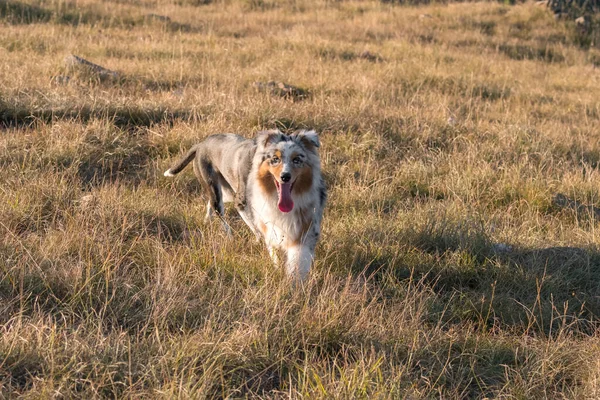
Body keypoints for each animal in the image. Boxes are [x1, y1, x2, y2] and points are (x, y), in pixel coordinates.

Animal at [164, 130, 326, 280]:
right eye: (275, 159)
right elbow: (257, 226)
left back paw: (206, 221)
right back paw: (229, 236)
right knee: (219, 211)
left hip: (226, 192)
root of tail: (201, 144)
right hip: (216, 188)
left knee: (211, 204)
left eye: (297, 160)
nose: (285, 176)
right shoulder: (241, 203)